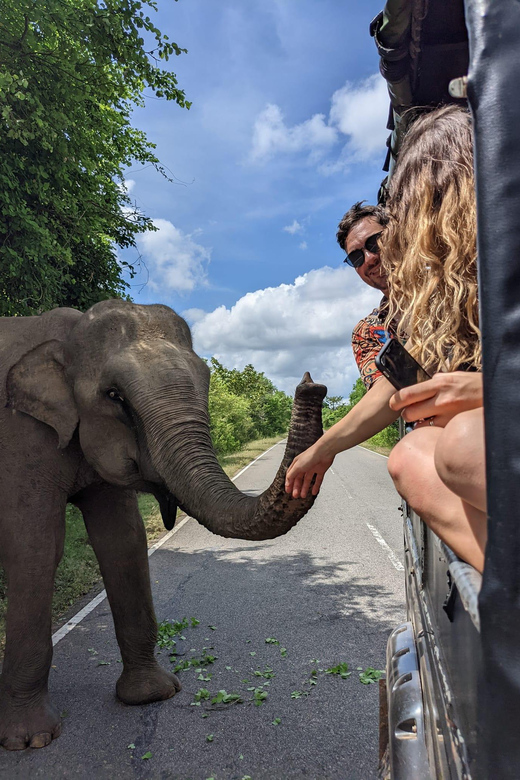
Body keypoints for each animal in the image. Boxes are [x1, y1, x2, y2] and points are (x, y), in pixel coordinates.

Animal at [0, 298, 324, 748]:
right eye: (114, 396)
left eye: (207, 380)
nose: (311, 383)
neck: (69, 334)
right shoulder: (21, 436)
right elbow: (36, 546)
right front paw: (29, 741)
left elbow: (123, 539)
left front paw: (152, 695)